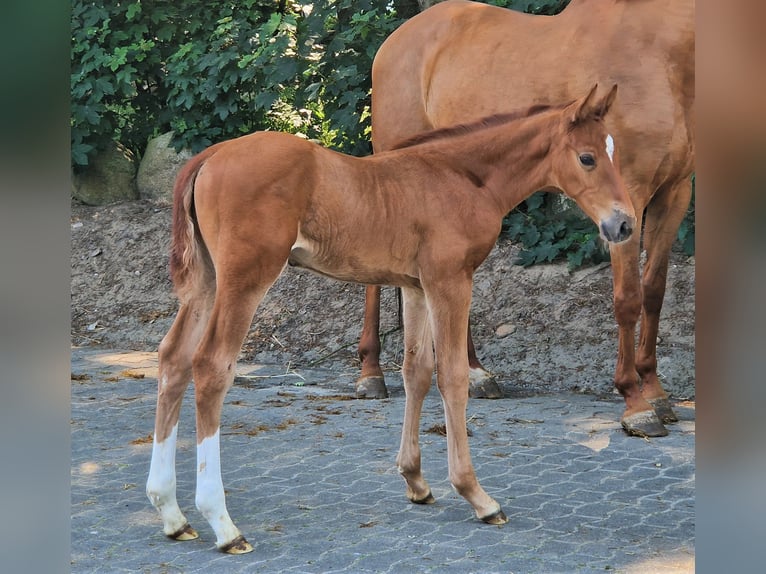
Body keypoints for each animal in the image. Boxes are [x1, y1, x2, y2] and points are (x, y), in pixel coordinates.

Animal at [148, 88, 636, 556]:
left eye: (617, 152)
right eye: (587, 157)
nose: (625, 225)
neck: (462, 177)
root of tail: (208, 156)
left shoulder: (416, 286)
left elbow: (416, 371)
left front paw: (416, 481)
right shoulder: (449, 281)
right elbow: (453, 377)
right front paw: (476, 496)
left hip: (206, 282)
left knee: (173, 359)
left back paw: (171, 513)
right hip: (246, 278)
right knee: (211, 365)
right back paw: (223, 525)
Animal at [358, 0, 696, 438]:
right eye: (588, 158)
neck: (660, 53)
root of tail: (394, 41)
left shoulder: (674, 194)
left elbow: (654, 292)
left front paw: (656, 393)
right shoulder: (630, 198)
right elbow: (628, 299)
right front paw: (635, 404)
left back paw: (476, 373)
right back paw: (370, 374)